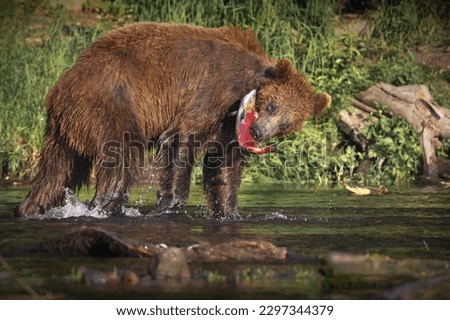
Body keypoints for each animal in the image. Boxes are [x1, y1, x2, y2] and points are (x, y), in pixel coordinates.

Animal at [14, 22, 330, 218]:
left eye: (287, 124)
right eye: (273, 105)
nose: (258, 132)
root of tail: (61, 85)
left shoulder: (228, 129)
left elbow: (225, 166)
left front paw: (229, 210)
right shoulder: (211, 92)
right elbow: (182, 140)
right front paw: (169, 203)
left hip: (66, 126)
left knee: (57, 169)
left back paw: (29, 207)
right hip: (108, 102)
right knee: (122, 154)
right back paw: (103, 204)